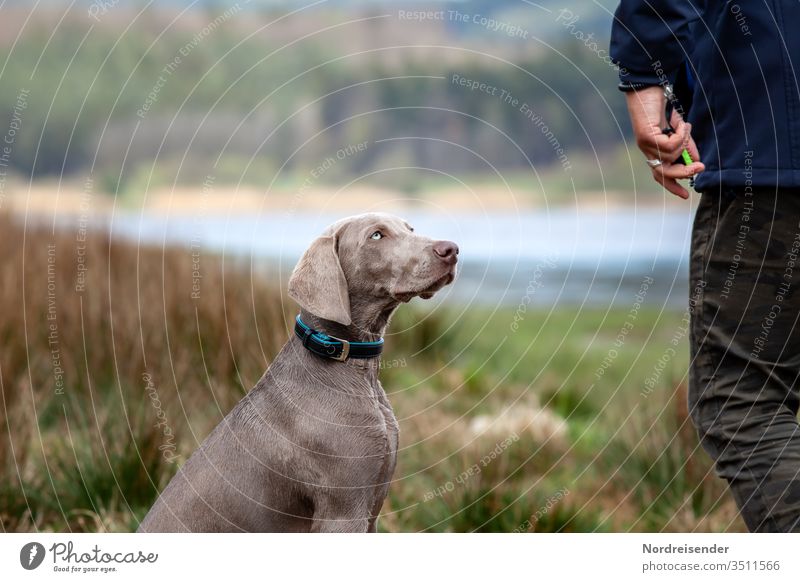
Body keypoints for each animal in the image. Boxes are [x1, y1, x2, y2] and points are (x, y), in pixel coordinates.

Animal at [139, 214, 456, 532]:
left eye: (410, 229)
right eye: (376, 235)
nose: (451, 249)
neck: (356, 369)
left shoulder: (372, 506)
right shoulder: (343, 512)